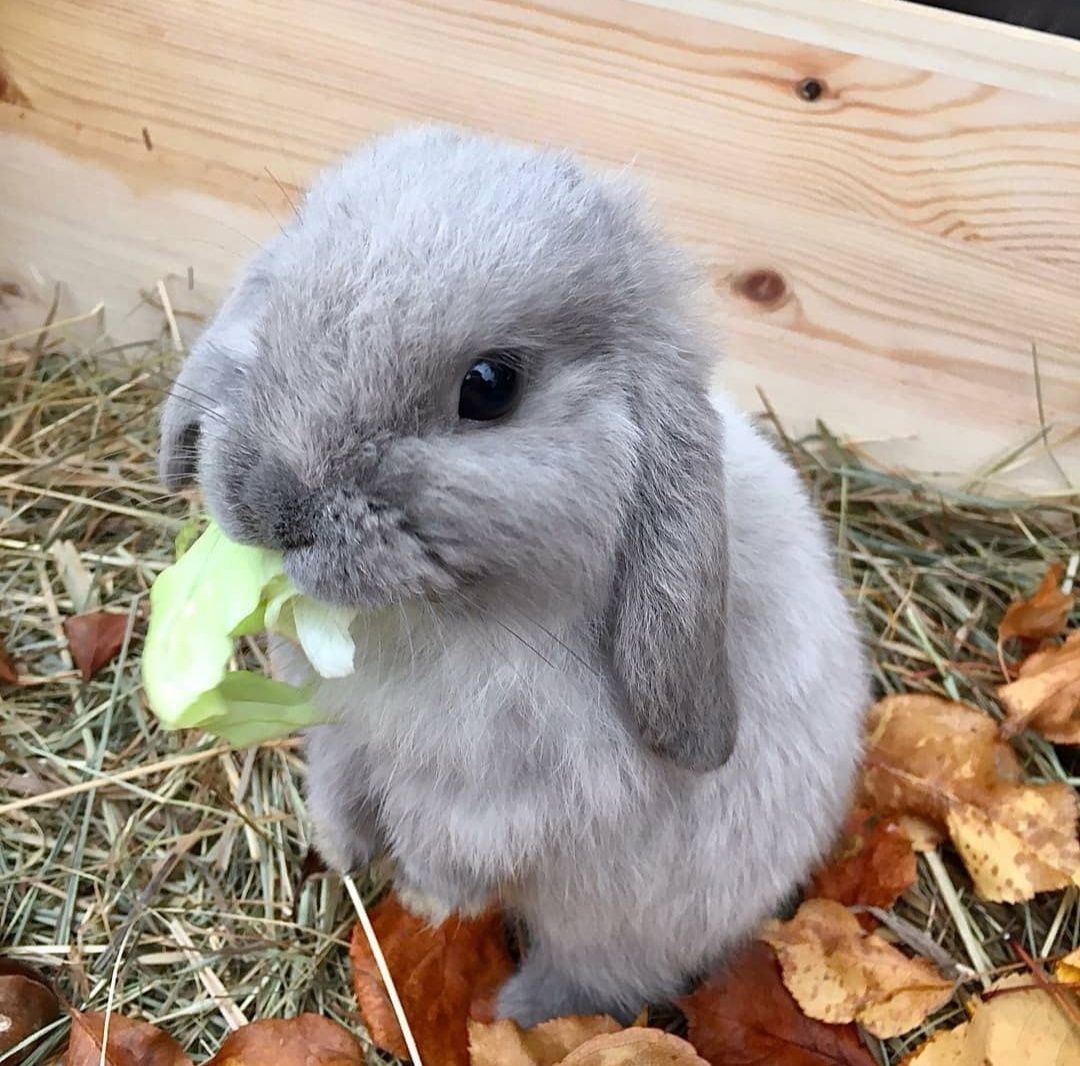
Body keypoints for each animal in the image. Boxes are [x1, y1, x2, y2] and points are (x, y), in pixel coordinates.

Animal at [159, 125, 868, 1023]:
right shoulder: (342, 730)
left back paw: (507, 1013)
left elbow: (454, 850)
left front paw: (421, 898)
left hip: (629, 931)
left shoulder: (508, 805)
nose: (274, 507)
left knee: (588, 981)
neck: (451, 616)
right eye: (278, 303)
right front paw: (341, 849)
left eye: (490, 387)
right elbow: (340, 781)